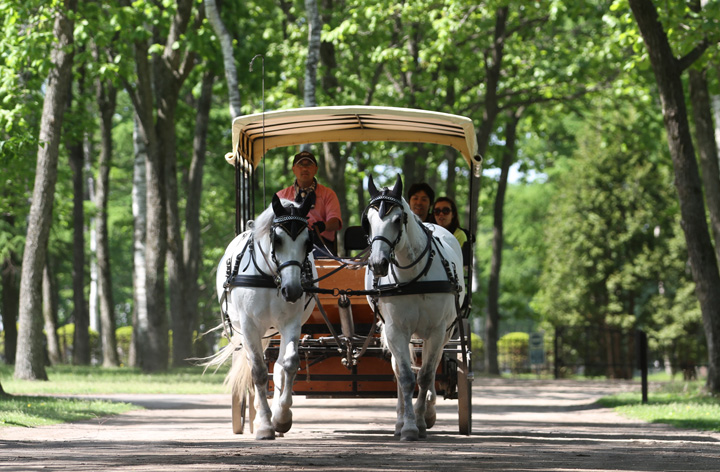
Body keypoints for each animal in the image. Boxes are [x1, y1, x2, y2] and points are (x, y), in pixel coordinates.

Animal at [207, 194, 316, 440]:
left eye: (308, 242)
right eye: (277, 240)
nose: (293, 290)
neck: (270, 277)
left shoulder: (291, 323)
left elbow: (288, 365)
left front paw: (281, 418)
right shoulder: (249, 327)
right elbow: (257, 371)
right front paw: (265, 425)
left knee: (278, 368)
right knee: (253, 367)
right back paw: (258, 416)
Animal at [362, 174, 464, 442]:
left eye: (398, 219)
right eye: (368, 221)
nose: (378, 264)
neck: (414, 276)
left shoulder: (437, 331)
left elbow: (426, 375)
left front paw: (420, 420)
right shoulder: (396, 330)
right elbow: (406, 377)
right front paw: (407, 426)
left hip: (445, 332)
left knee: (433, 365)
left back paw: (427, 411)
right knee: (400, 371)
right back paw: (400, 421)